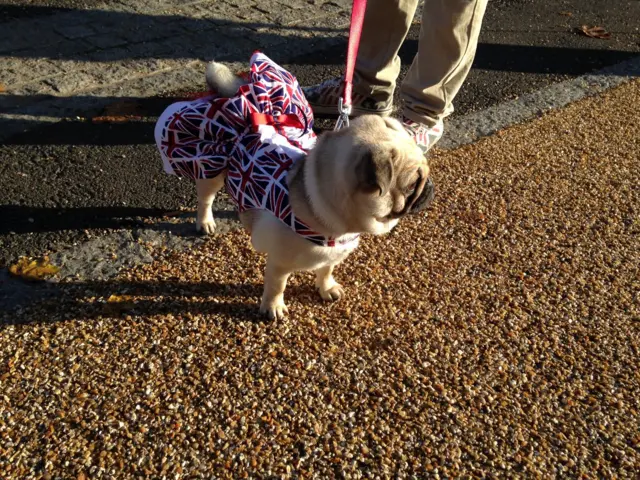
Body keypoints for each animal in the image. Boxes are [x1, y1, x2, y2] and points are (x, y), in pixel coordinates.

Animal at [156, 53, 436, 318]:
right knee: (206, 199)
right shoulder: (279, 264)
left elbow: (326, 270)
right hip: (211, 170)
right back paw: (205, 222)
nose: (430, 187)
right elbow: (276, 286)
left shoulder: (332, 256)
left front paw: (326, 288)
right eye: (412, 184)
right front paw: (273, 307)